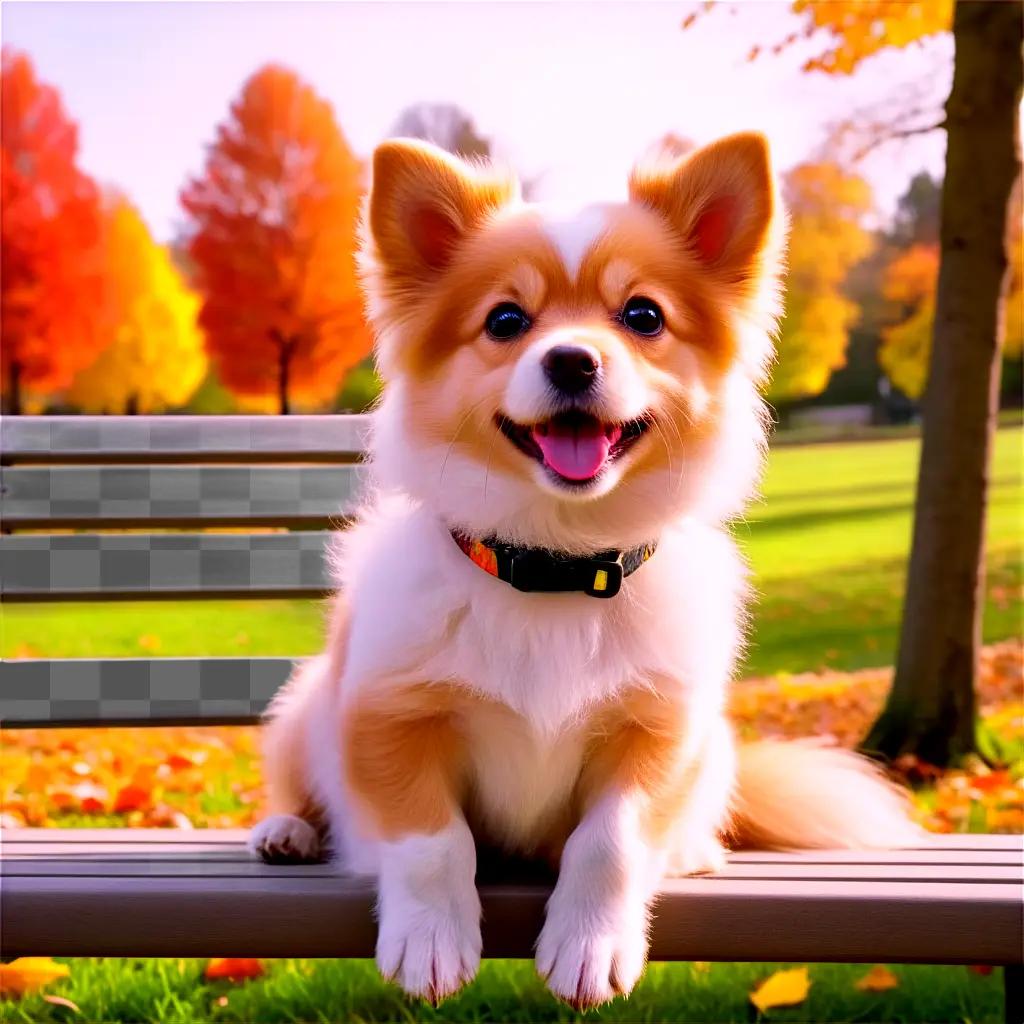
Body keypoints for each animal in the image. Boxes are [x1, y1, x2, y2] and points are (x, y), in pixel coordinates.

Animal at [249, 134, 921, 1007]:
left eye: (643, 316)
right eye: (505, 320)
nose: (571, 360)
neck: (555, 567)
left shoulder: (659, 730)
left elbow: (611, 843)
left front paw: (590, 945)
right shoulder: (389, 716)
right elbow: (432, 842)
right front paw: (430, 939)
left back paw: (694, 849)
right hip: (305, 710)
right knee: (302, 790)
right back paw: (286, 830)